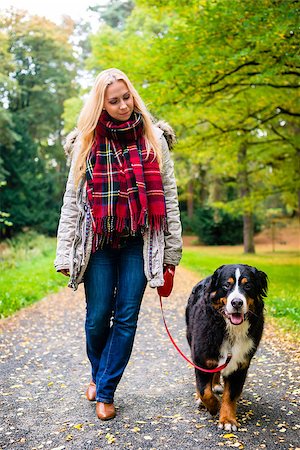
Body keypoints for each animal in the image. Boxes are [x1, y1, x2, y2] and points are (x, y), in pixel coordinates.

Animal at [186, 264, 268, 432]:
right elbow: (204, 391)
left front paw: (228, 420)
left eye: (248, 285)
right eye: (226, 285)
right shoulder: (201, 357)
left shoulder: (240, 364)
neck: (231, 330)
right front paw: (214, 406)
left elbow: (230, 395)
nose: (237, 302)